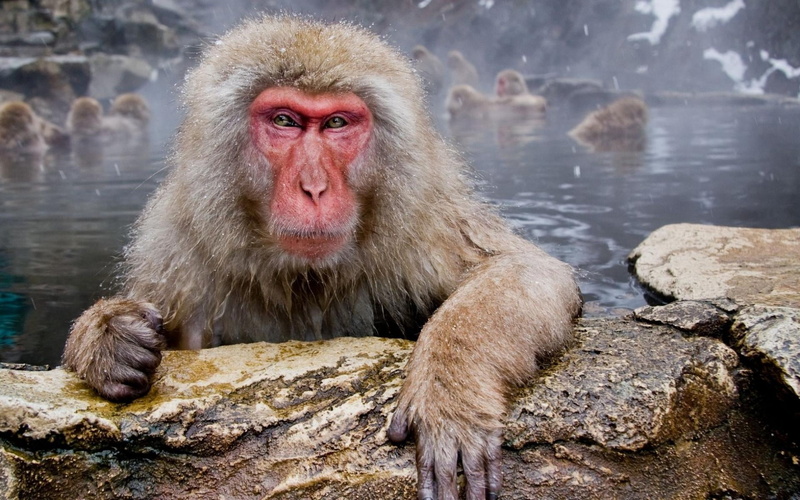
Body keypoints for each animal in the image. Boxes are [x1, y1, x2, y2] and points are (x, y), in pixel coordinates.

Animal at [61, 16, 582, 499]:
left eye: (336, 123)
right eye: (285, 121)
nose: (313, 187)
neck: (303, 278)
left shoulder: (422, 222)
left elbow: (528, 270)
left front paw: (447, 393)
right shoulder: (178, 254)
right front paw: (107, 336)